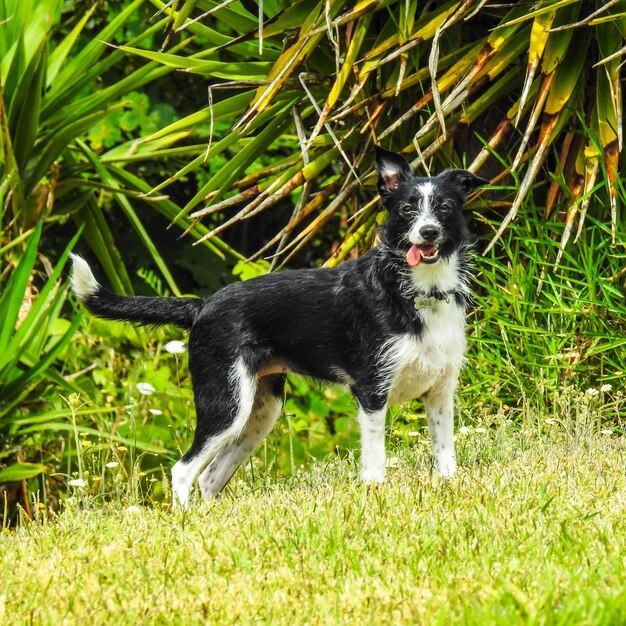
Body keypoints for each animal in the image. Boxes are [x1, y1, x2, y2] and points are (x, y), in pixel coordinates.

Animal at [72, 147, 482, 508]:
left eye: (445, 207)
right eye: (407, 208)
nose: (427, 233)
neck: (417, 290)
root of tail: (202, 306)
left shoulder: (441, 392)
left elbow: (445, 455)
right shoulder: (371, 392)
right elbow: (375, 464)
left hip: (260, 412)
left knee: (210, 477)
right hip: (226, 405)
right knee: (183, 470)